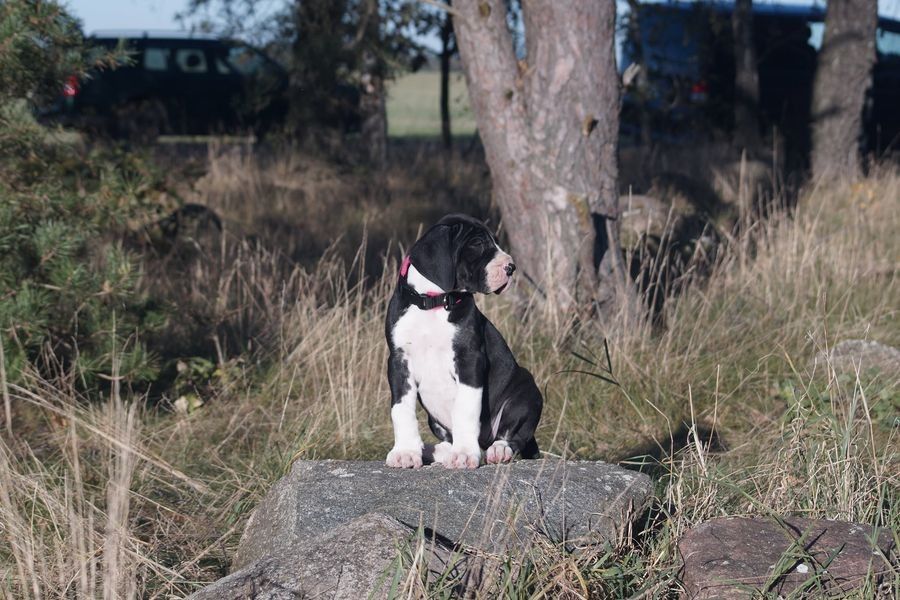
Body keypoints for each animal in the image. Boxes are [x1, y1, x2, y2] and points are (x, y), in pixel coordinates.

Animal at [384, 214, 543, 469]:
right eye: (477, 244)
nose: (511, 267)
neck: (433, 303)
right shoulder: (399, 362)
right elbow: (402, 409)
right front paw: (406, 451)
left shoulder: (470, 359)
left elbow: (465, 409)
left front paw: (465, 454)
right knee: (447, 440)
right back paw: (433, 450)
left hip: (526, 391)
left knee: (513, 436)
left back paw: (499, 450)